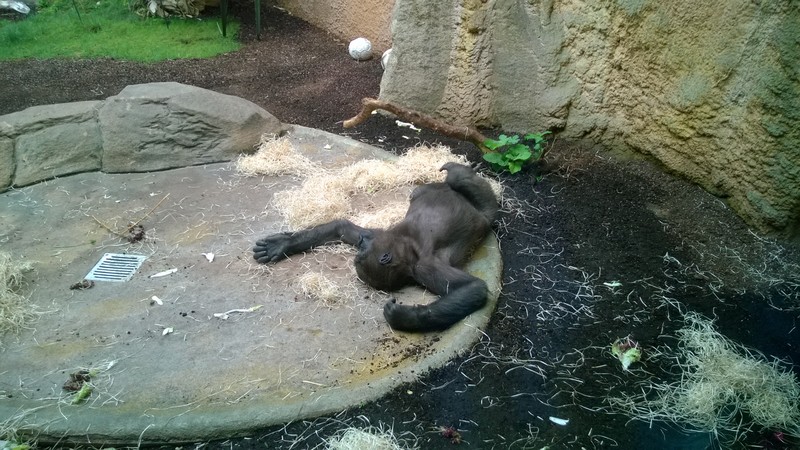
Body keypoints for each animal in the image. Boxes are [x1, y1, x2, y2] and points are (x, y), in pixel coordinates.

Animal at [253, 162, 496, 330]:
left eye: (362, 250)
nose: (362, 242)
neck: (407, 249)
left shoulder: (424, 266)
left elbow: (473, 287)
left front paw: (405, 318)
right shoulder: (381, 235)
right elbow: (341, 227)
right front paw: (283, 244)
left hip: (484, 215)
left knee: (468, 190)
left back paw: (457, 172)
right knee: (426, 191)